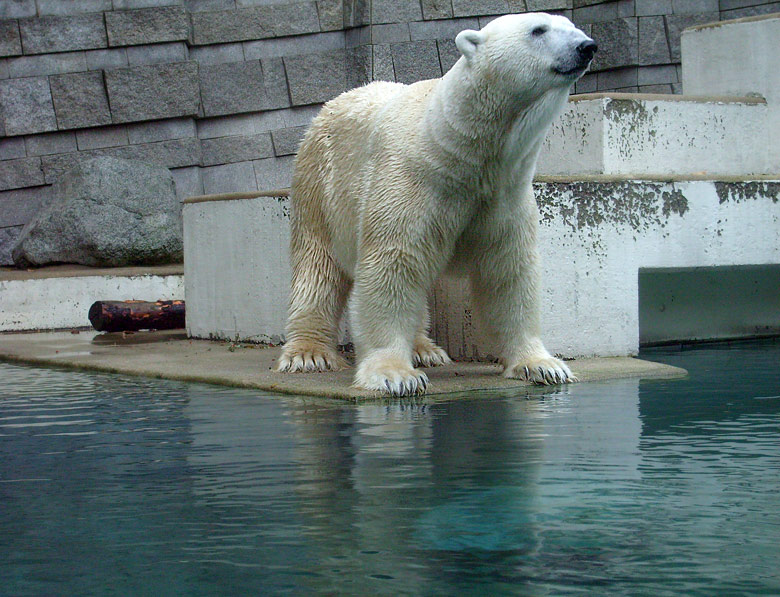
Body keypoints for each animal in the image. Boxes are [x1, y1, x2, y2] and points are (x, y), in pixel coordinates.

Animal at [278, 11, 596, 394]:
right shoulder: (409, 182)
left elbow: (508, 272)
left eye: (572, 26)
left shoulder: (505, 194)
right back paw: (308, 354)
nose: (587, 46)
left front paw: (542, 365)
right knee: (317, 267)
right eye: (538, 30)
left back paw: (425, 349)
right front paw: (394, 374)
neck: (456, 149)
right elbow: (392, 265)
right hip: (318, 184)